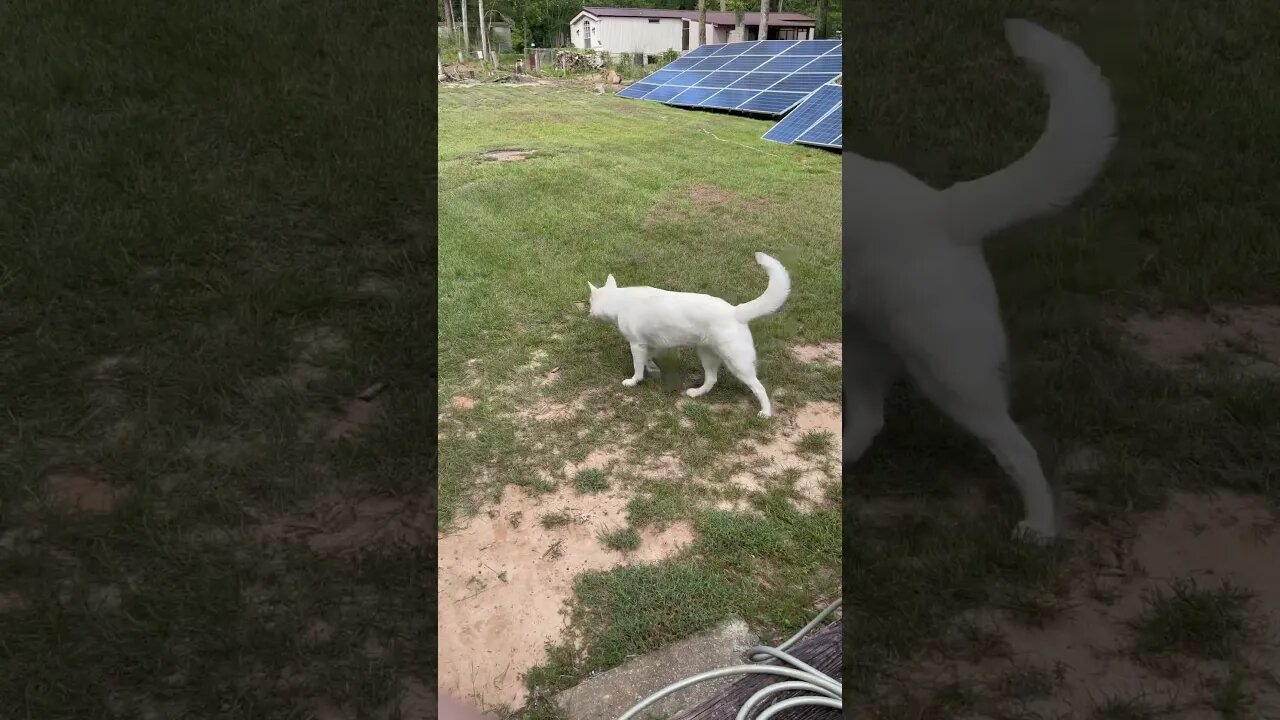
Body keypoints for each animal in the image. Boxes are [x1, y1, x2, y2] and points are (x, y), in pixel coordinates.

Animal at [588, 251, 788, 415]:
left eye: (590, 301)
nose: (588, 311)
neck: (619, 300)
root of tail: (736, 311)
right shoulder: (651, 344)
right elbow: (648, 359)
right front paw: (652, 369)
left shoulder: (637, 345)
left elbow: (637, 367)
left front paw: (633, 381)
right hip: (707, 355)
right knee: (712, 379)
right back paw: (696, 393)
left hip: (737, 364)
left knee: (759, 388)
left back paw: (765, 413)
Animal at [844, 19, 1116, 540]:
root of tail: (945, 209)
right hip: (871, 347)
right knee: (868, 419)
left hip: (950, 370)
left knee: (1019, 450)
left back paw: (1039, 528)